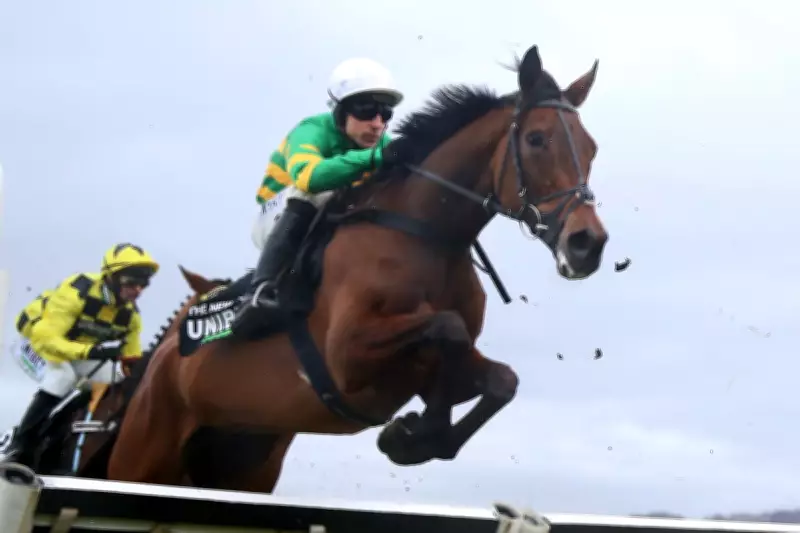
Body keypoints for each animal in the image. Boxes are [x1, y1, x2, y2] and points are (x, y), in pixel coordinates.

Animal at [106, 43, 608, 487]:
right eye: (536, 139)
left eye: (592, 148)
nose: (588, 243)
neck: (424, 235)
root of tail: (156, 365)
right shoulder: (347, 357)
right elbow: (446, 326)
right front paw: (417, 432)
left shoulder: (424, 370)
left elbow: (502, 379)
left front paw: (416, 436)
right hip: (142, 456)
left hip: (240, 462)